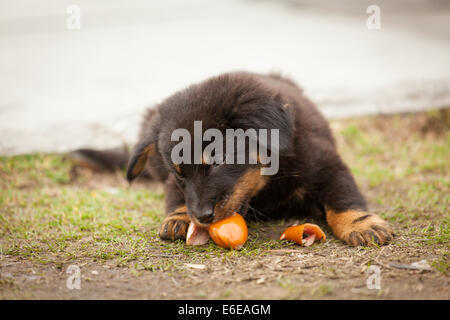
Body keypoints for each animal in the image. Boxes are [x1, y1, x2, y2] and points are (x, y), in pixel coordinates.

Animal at [73, 72, 390, 246]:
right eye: (179, 173)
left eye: (217, 161)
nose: (202, 217)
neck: (268, 183)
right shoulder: (172, 182)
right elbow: (175, 195)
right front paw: (178, 217)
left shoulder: (325, 163)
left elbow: (342, 196)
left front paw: (361, 224)